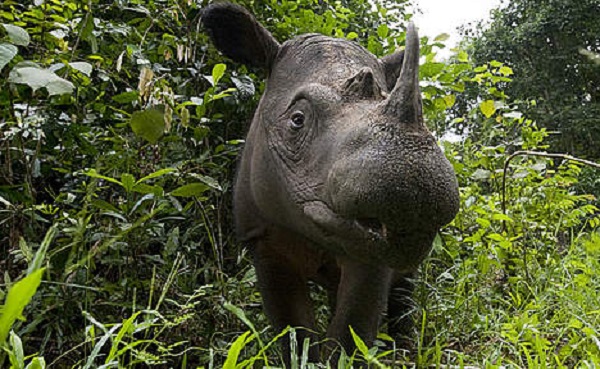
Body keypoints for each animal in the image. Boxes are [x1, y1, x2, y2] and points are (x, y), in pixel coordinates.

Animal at [202, 1, 460, 360]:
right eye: (297, 120)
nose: (416, 192)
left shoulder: (373, 251)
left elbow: (352, 331)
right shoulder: (261, 237)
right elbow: (292, 328)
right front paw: (303, 358)